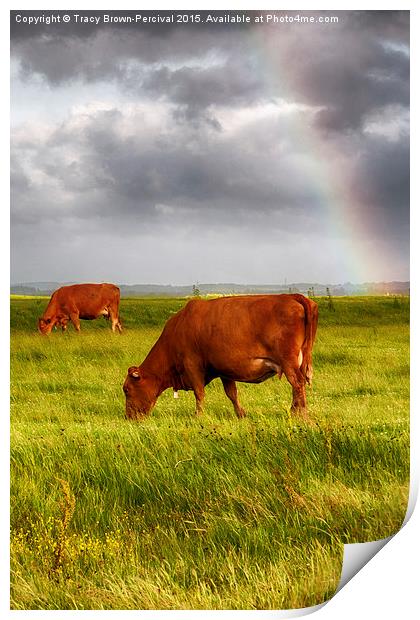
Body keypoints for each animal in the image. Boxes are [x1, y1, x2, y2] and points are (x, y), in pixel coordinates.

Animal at [124, 294, 318, 418]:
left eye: (126, 389)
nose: (128, 417)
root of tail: (292, 296)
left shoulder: (192, 365)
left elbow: (199, 393)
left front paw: (198, 416)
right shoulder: (225, 370)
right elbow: (232, 394)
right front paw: (241, 414)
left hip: (289, 361)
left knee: (297, 383)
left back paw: (299, 414)